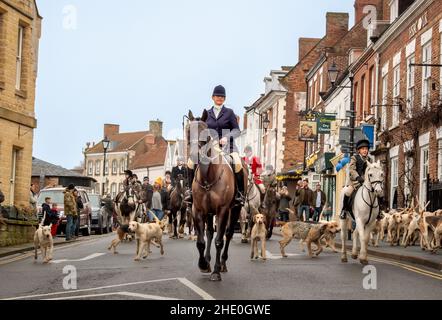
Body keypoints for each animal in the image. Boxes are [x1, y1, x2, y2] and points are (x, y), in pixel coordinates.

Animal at [187, 111, 247, 282]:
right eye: (188, 131)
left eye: (205, 133)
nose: (194, 156)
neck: (208, 176)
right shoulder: (198, 210)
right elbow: (201, 241)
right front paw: (203, 264)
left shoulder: (222, 210)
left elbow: (219, 241)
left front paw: (216, 271)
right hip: (209, 212)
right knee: (209, 233)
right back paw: (207, 260)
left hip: (235, 209)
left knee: (228, 234)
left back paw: (222, 264)